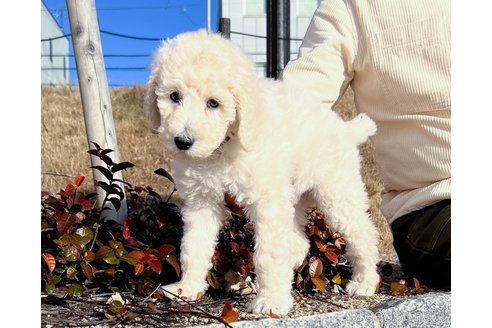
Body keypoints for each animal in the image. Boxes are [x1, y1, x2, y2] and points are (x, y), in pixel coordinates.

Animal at [142, 30, 380, 316]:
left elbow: (268, 254)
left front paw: (272, 301)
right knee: (299, 242)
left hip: (337, 194)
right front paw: (186, 289)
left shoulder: (267, 204)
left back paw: (365, 281)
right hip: (295, 197)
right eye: (174, 96)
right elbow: (194, 247)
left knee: (363, 233)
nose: (182, 141)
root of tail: (346, 129)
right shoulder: (202, 202)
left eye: (213, 103)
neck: (224, 148)